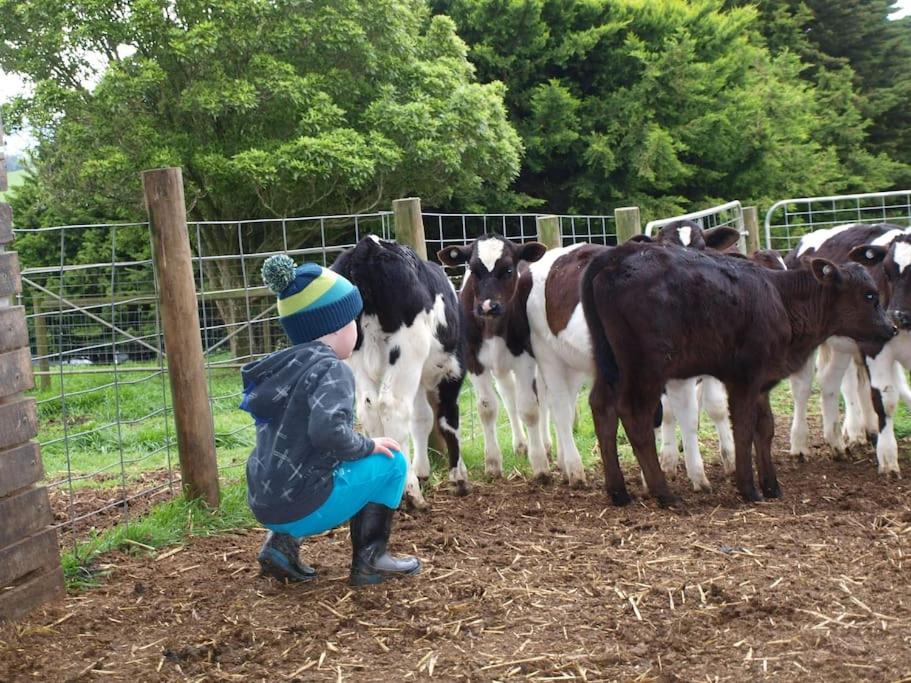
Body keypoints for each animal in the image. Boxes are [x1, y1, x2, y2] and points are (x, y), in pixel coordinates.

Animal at [332, 235, 466, 508]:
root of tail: (368, 245)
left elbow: (422, 418)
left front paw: (423, 470)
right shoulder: (453, 372)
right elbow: (448, 420)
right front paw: (458, 476)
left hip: (356, 353)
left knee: (369, 407)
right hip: (407, 350)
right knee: (392, 407)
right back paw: (411, 491)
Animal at [440, 235, 552, 480]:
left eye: (508, 270)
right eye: (473, 270)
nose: (487, 306)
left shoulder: (525, 358)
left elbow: (530, 408)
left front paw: (540, 464)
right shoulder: (473, 360)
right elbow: (487, 408)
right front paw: (492, 463)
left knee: (542, 396)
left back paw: (546, 443)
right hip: (500, 366)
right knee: (509, 396)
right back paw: (520, 444)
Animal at [580, 243, 896, 504]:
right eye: (869, 295)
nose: (892, 328)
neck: (781, 300)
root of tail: (616, 255)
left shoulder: (762, 381)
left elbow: (765, 428)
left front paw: (771, 486)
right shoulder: (743, 377)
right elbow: (743, 429)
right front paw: (749, 489)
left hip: (609, 362)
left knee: (602, 407)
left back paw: (619, 492)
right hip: (646, 367)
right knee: (635, 415)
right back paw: (664, 494)